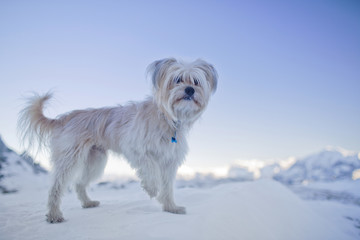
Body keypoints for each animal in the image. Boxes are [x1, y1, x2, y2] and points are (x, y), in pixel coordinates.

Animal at [16, 58, 217, 223]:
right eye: (177, 79)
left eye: (196, 81)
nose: (190, 90)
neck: (167, 118)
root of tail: (64, 118)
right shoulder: (136, 149)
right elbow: (151, 168)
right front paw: (152, 188)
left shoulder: (169, 160)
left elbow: (167, 187)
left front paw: (170, 208)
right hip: (69, 158)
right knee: (56, 187)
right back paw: (54, 215)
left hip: (95, 162)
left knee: (79, 183)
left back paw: (87, 203)